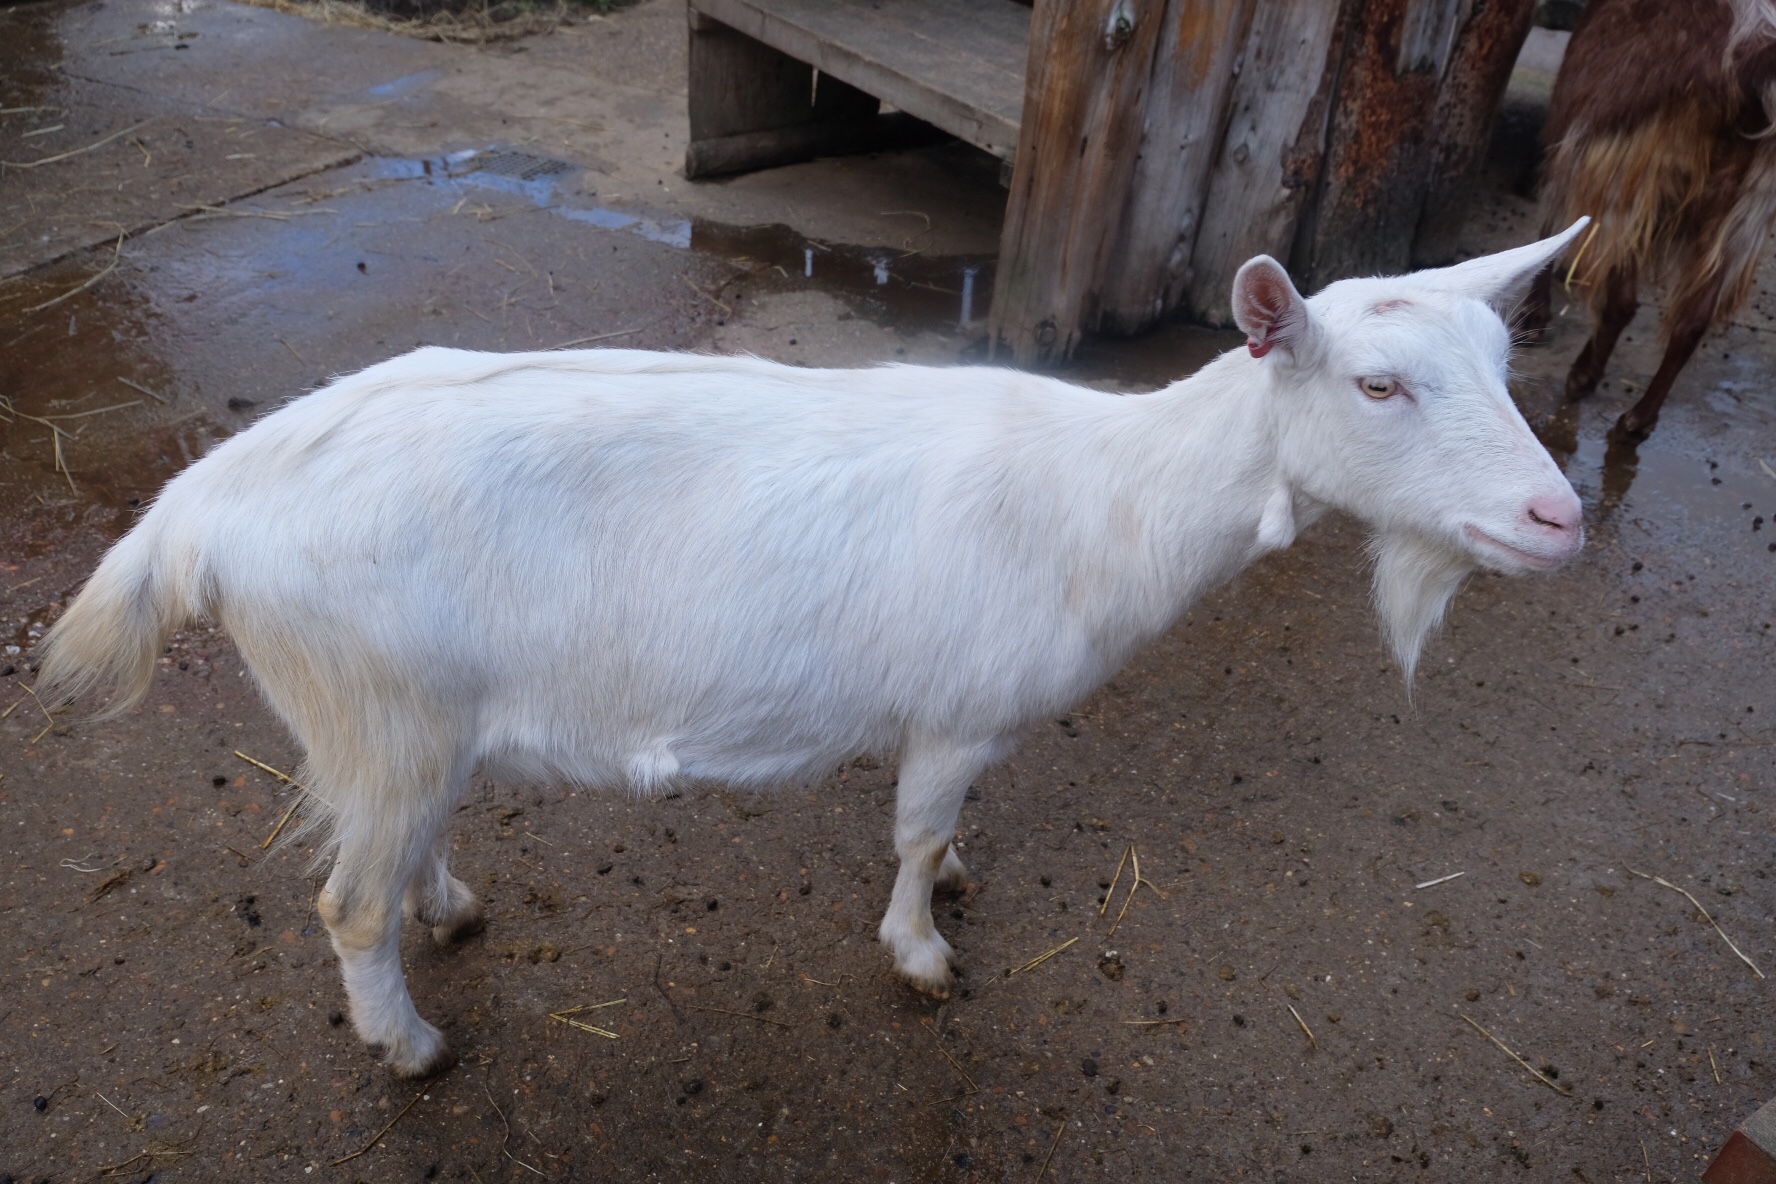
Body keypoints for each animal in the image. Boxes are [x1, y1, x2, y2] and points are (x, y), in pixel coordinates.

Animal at [38, 223, 1587, 1077]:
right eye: (1378, 384)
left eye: (1503, 369)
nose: (1559, 517)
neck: (1114, 493)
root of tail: (197, 509)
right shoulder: (954, 707)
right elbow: (911, 833)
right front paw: (921, 950)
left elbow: (950, 829)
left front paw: (957, 883)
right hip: (375, 706)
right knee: (346, 904)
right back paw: (410, 1042)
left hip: (405, 728)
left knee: (401, 848)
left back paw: (451, 908)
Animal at [1529, 0, 1776, 439]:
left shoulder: (1579, 141)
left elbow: (1552, 220)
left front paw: (1535, 312)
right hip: (1746, 210)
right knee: (1692, 321)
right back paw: (1638, 419)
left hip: (1634, 175)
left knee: (1623, 299)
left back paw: (1583, 376)